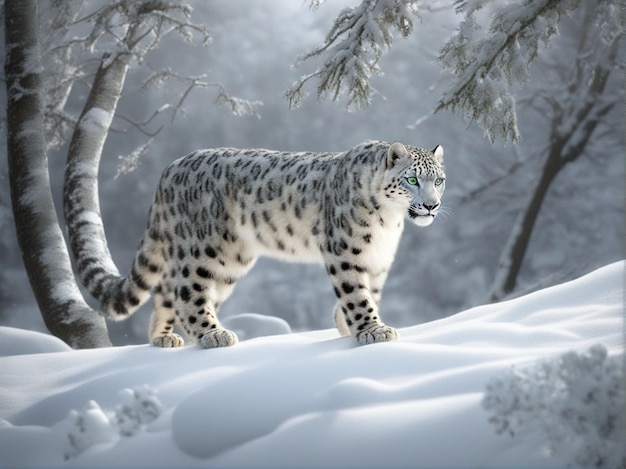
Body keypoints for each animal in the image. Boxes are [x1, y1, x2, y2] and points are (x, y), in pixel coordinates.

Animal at [66, 141, 442, 346]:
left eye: (438, 179)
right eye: (411, 179)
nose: (431, 205)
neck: (388, 223)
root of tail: (169, 169)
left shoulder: (377, 260)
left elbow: (369, 293)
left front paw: (345, 326)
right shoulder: (345, 252)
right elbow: (357, 295)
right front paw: (372, 330)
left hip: (229, 261)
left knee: (166, 295)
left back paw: (165, 339)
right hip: (201, 249)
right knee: (186, 293)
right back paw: (213, 335)